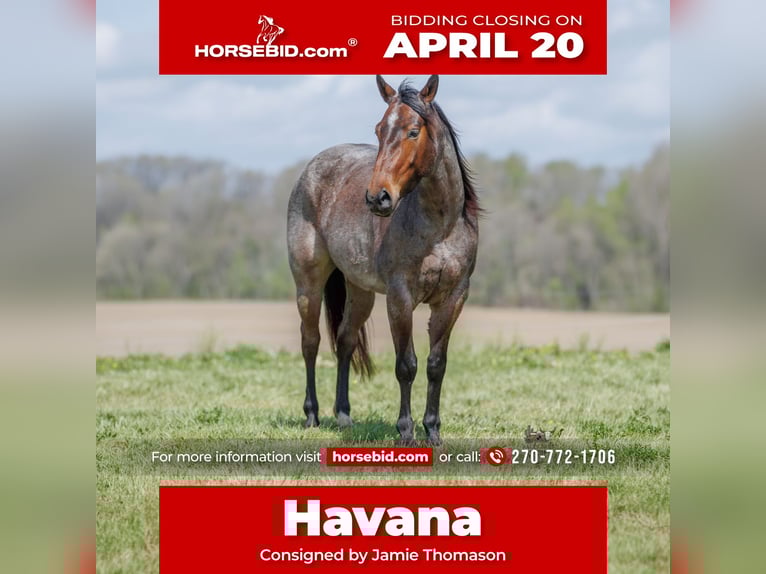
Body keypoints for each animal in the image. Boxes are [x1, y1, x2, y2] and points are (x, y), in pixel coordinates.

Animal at [287, 75, 479, 445]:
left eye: (414, 131)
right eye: (378, 130)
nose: (378, 198)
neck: (439, 228)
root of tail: (313, 167)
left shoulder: (453, 299)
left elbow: (436, 364)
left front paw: (433, 430)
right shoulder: (400, 298)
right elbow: (406, 365)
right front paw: (405, 431)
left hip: (359, 290)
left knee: (345, 340)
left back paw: (343, 415)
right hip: (308, 283)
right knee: (311, 341)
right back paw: (312, 415)